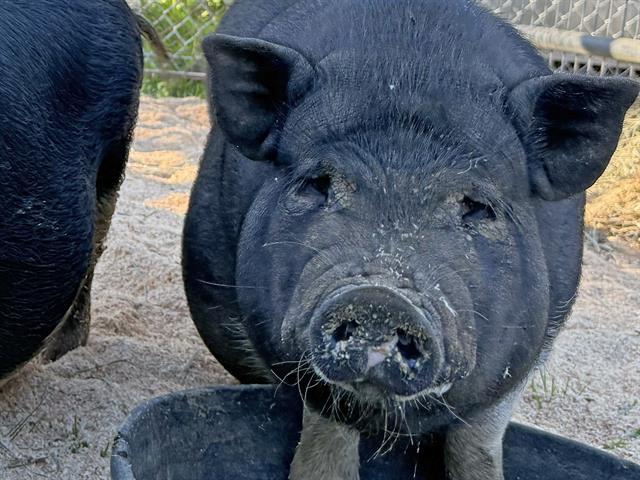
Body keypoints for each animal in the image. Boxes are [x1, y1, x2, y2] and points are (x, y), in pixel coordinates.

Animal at [182, 0, 639, 478]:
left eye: (477, 206)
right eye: (318, 183)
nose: (381, 298)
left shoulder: (536, 338)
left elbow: (479, 440)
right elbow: (328, 423)